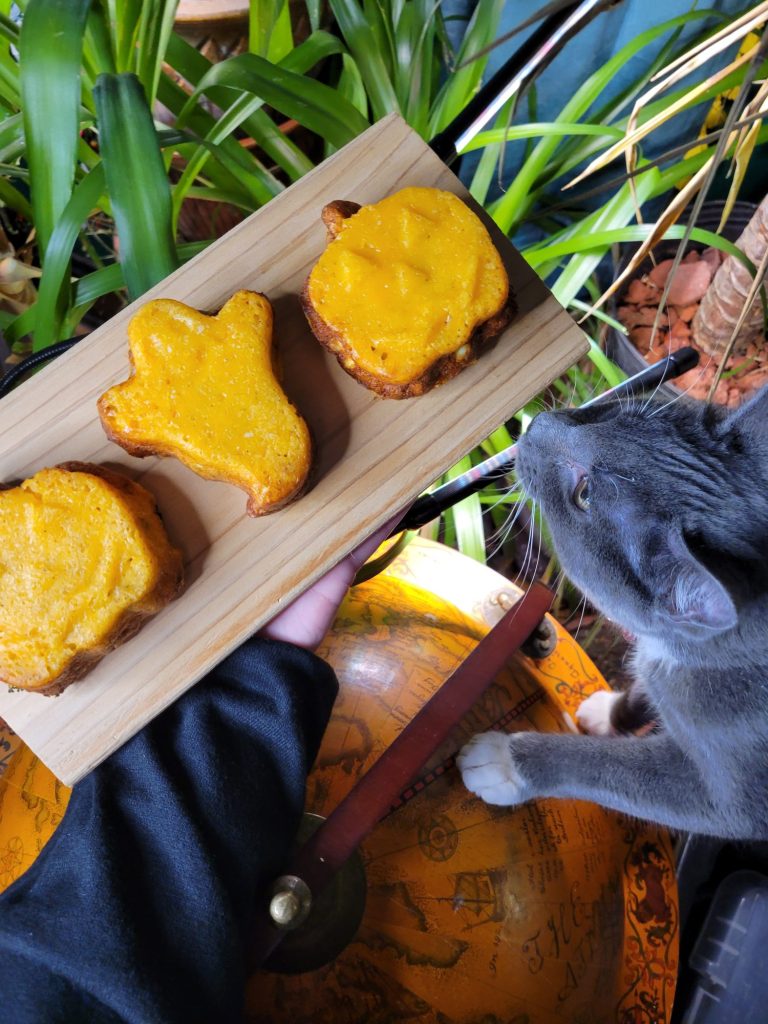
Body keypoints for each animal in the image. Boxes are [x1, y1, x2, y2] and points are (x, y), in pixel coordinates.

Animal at [456, 385, 768, 839]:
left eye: (583, 494)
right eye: (615, 417)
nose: (537, 423)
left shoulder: (732, 801)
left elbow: (613, 770)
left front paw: (502, 762)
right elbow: (640, 694)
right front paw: (606, 713)